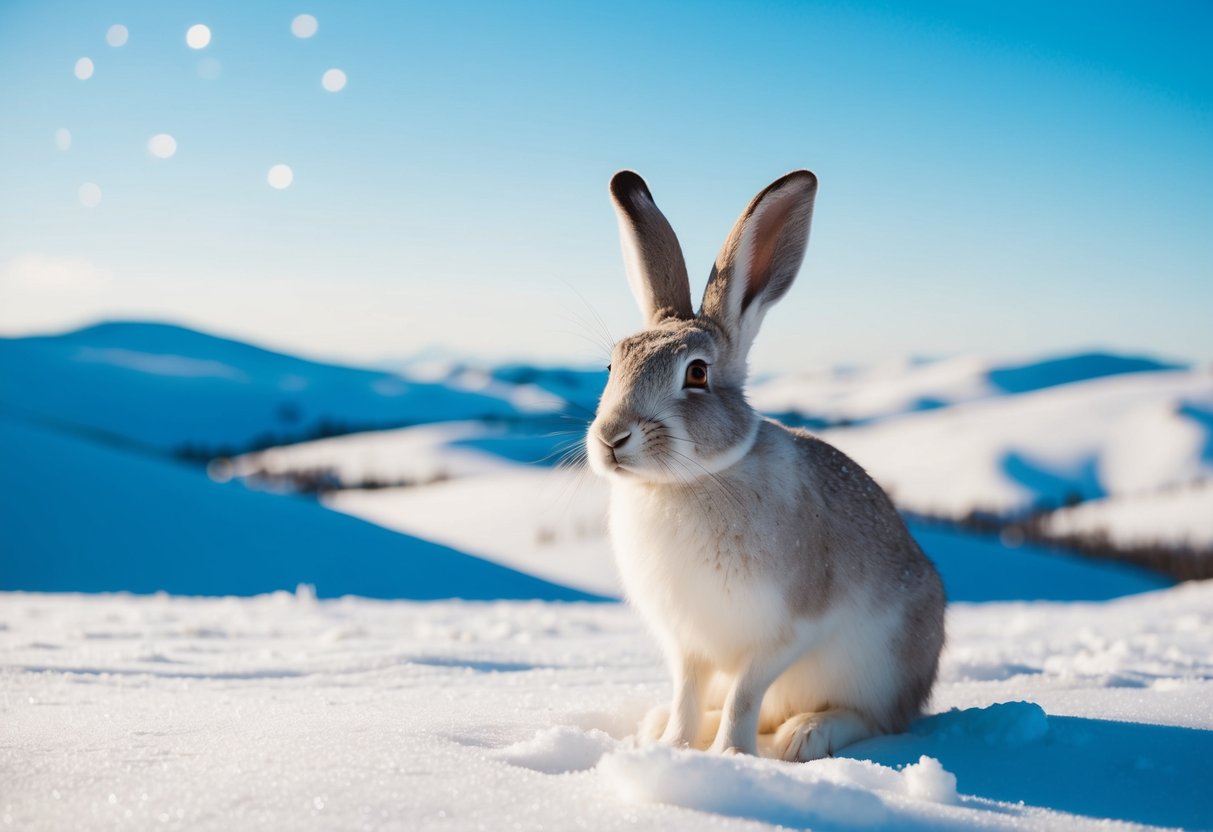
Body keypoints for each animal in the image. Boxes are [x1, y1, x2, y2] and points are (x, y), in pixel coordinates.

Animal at [586, 169, 946, 761]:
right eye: (613, 366)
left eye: (698, 374)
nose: (611, 438)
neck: (688, 482)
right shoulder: (688, 645)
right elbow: (688, 694)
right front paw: (674, 747)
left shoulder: (785, 632)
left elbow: (745, 694)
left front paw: (731, 756)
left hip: (882, 664)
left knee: (876, 718)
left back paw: (807, 735)